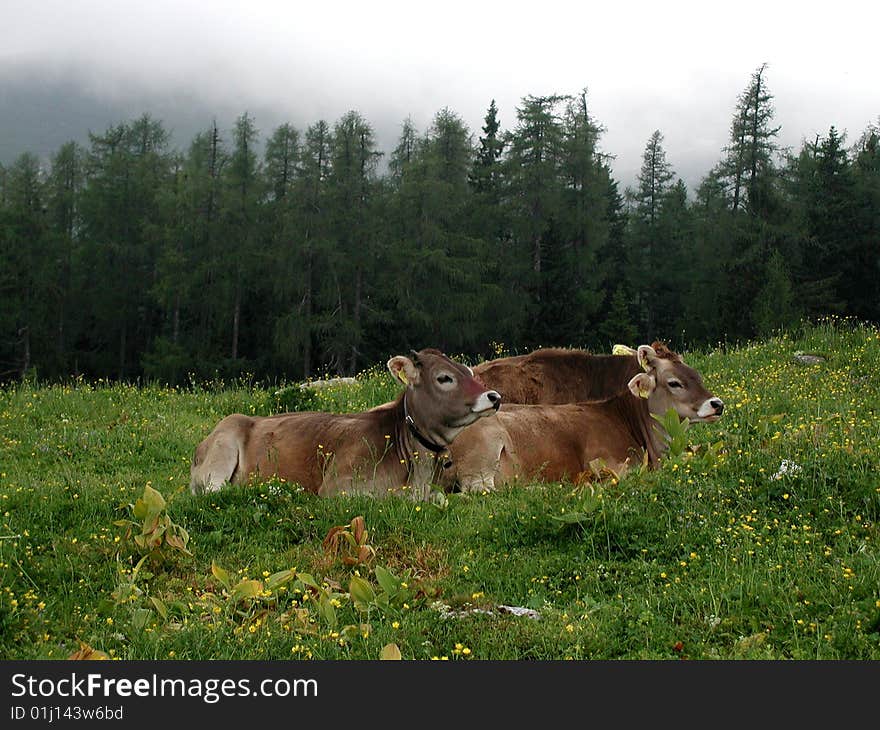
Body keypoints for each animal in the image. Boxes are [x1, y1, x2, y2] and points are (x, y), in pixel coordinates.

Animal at [189, 348, 498, 498]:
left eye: (469, 371)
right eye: (444, 378)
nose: (494, 396)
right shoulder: (338, 486)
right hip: (221, 449)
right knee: (214, 490)